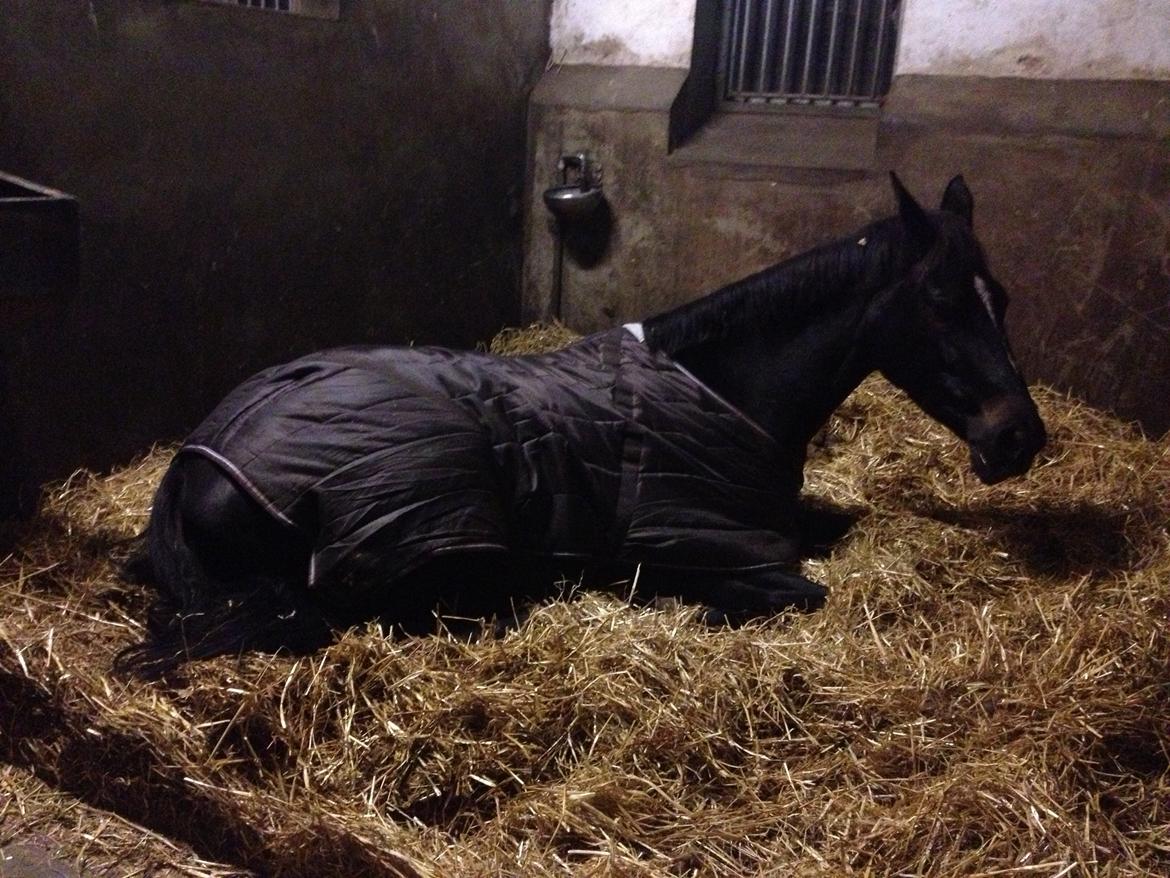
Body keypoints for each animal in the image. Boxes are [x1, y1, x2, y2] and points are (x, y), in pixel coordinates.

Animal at [123, 175, 1048, 678]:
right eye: (941, 300)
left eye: (1000, 297)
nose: (1020, 439)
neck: (721, 391)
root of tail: (198, 457)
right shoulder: (718, 549)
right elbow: (796, 591)